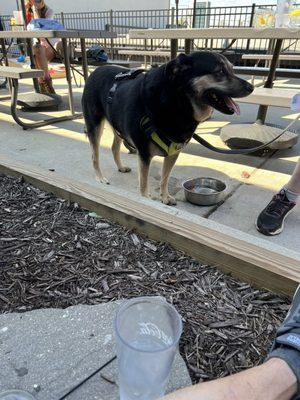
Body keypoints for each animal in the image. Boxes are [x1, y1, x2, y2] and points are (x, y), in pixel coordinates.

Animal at [81, 50, 252, 205]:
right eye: (220, 71)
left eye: (232, 69)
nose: (251, 87)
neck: (177, 102)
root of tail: (95, 71)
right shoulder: (144, 155)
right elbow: (144, 183)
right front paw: (146, 199)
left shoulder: (173, 152)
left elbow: (165, 177)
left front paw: (165, 197)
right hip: (95, 126)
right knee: (94, 156)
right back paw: (100, 178)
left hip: (117, 125)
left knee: (114, 147)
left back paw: (121, 167)